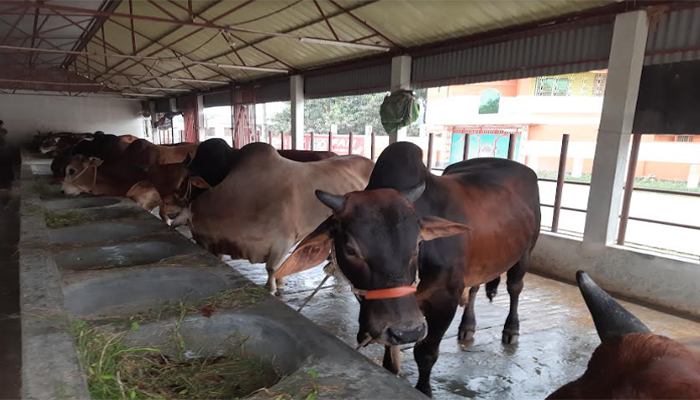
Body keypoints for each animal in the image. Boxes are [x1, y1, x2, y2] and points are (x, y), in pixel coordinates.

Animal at [274, 141, 540, 396]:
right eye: (350, 248)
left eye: (418, 244)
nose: (408, 331)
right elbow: (390, 357)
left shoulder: (445, 298)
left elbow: (425, 353)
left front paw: (424, 389)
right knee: (474, 288)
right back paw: (467, 327)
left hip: (525, 253)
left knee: (515, 287)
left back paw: (511, 329)